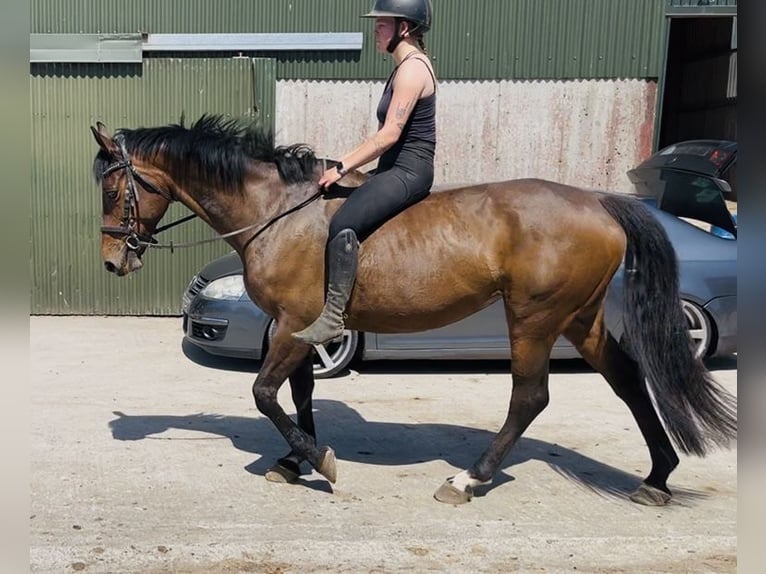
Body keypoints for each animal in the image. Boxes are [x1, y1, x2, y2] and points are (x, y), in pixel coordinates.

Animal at [91, 115, 736, 506]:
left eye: (112, 188)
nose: (112, 263)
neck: (277, 212)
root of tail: (599, 202)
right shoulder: (300, 328)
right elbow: (299, 393)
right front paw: (296, 457)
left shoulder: (295, 326)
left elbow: (264, 393)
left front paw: (319, 461)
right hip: (581, 318)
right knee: (627, 378)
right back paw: (657, 477)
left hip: (534, 318)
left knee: (530, 397)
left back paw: (469, 478)